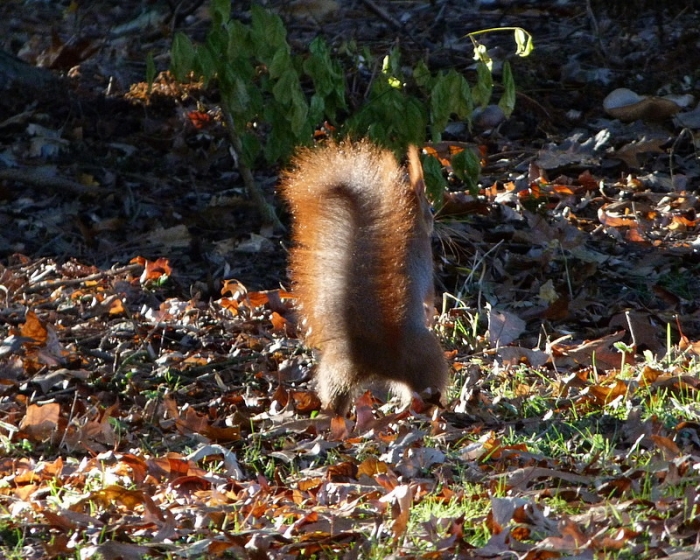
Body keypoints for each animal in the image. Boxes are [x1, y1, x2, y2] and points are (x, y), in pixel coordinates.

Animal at [279, 140, 449, 415]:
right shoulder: (425, 266)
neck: (409, 225)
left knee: (336, 395)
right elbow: (429, 298)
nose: (435, 220)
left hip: (336, 370)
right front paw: (436, 315)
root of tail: (377, 355)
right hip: (429, 360)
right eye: (430, 208)